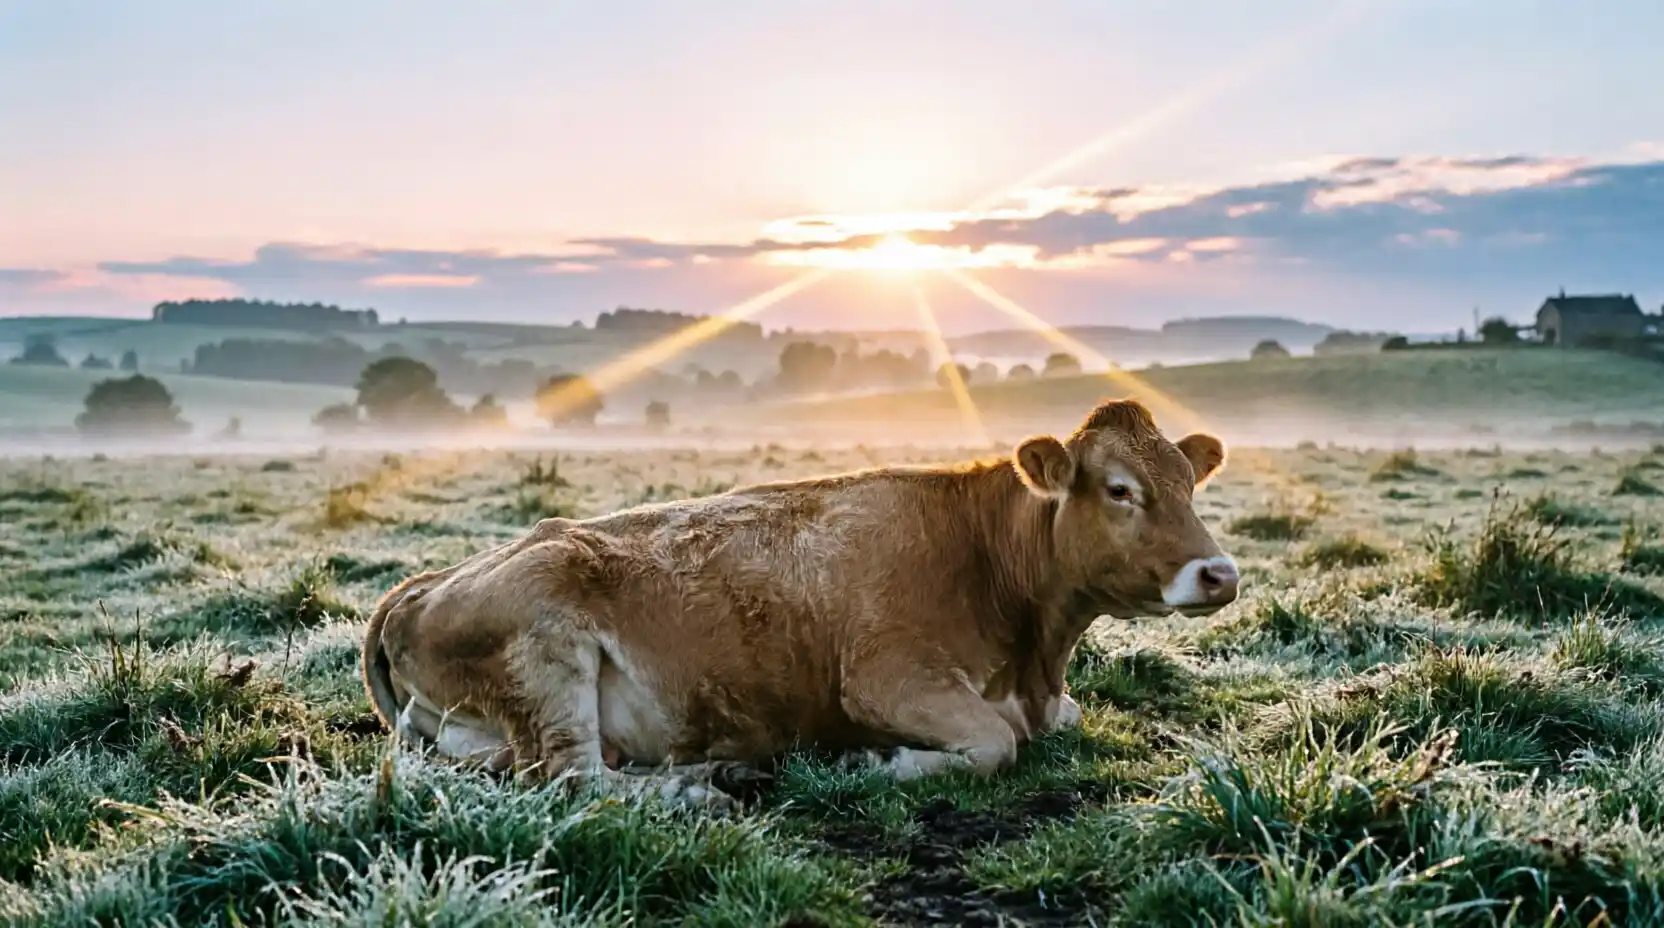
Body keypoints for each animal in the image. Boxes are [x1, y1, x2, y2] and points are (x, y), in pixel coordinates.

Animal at [360, 397, 1238, 809]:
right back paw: (698, 790)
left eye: (1190, 482)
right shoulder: (884, 677)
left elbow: (1057, 722)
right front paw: (878, 763)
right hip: (548, 648)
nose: (1219, 574)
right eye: (1120, 490)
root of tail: (415, 588)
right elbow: (997, 743)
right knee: (574, 779)